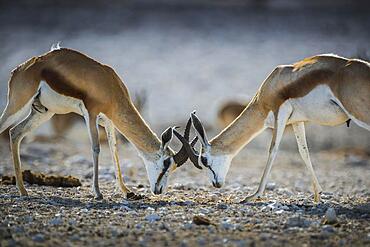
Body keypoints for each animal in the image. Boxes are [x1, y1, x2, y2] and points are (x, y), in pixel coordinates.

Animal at [0, 47, 197, 200]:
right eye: (166, 163)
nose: (159, 190)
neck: (109, 86)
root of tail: (19, 69)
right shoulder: (91, 114)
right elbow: (96, 148)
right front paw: (98, 193)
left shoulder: (108, 121)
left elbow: (114, 149)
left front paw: (126, 191)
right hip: (17, 105)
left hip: (43, 112)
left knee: (15, 133)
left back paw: (23, 191)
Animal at [176, 54, 370, 203]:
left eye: (204, 160)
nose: (216, 184)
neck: (273, 84)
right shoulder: (297, 121)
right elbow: (304, 152)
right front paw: (317, 196)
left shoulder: (280, 113)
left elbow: (273, 150)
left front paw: (253, 196)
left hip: (360, 113)